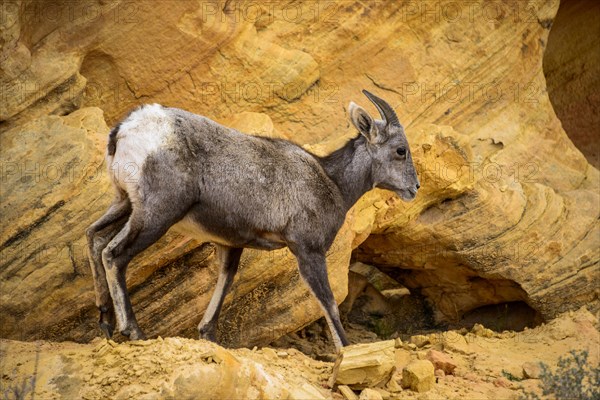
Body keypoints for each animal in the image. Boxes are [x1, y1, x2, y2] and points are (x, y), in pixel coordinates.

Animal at [86, 90, 420, 350]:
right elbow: (328, 303)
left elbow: (224, 282)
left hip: (125, 204)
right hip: (157, 213)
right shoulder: (308, 250)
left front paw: (208, 335)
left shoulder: (231, 244)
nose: (415, 188)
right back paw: (133, 330)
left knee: (94, 238)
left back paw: (104, 323)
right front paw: (346, 351)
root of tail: (125, 129)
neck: (332, 182)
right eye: (400, 150)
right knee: (114, 254)